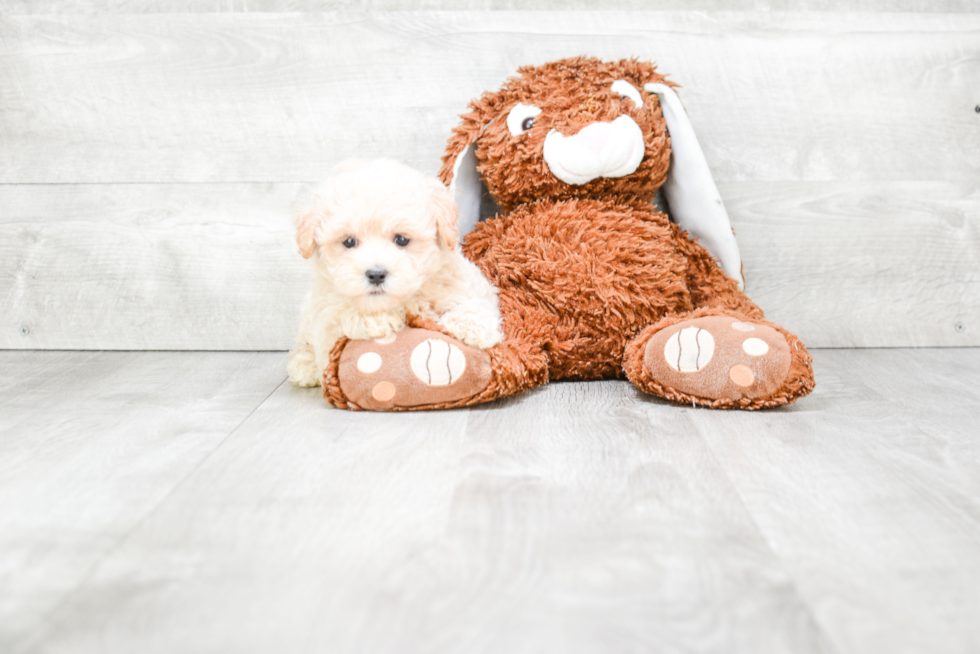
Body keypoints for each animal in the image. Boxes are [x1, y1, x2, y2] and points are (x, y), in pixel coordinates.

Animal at [286, 160, 502, 390]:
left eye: (401, 239)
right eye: (349, 241)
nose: (376, 274)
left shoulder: (462, 282)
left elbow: (474, 303)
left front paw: (471, 326)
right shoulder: (325, 320)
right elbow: (339, 320)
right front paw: (376, 320)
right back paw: (304, 366)